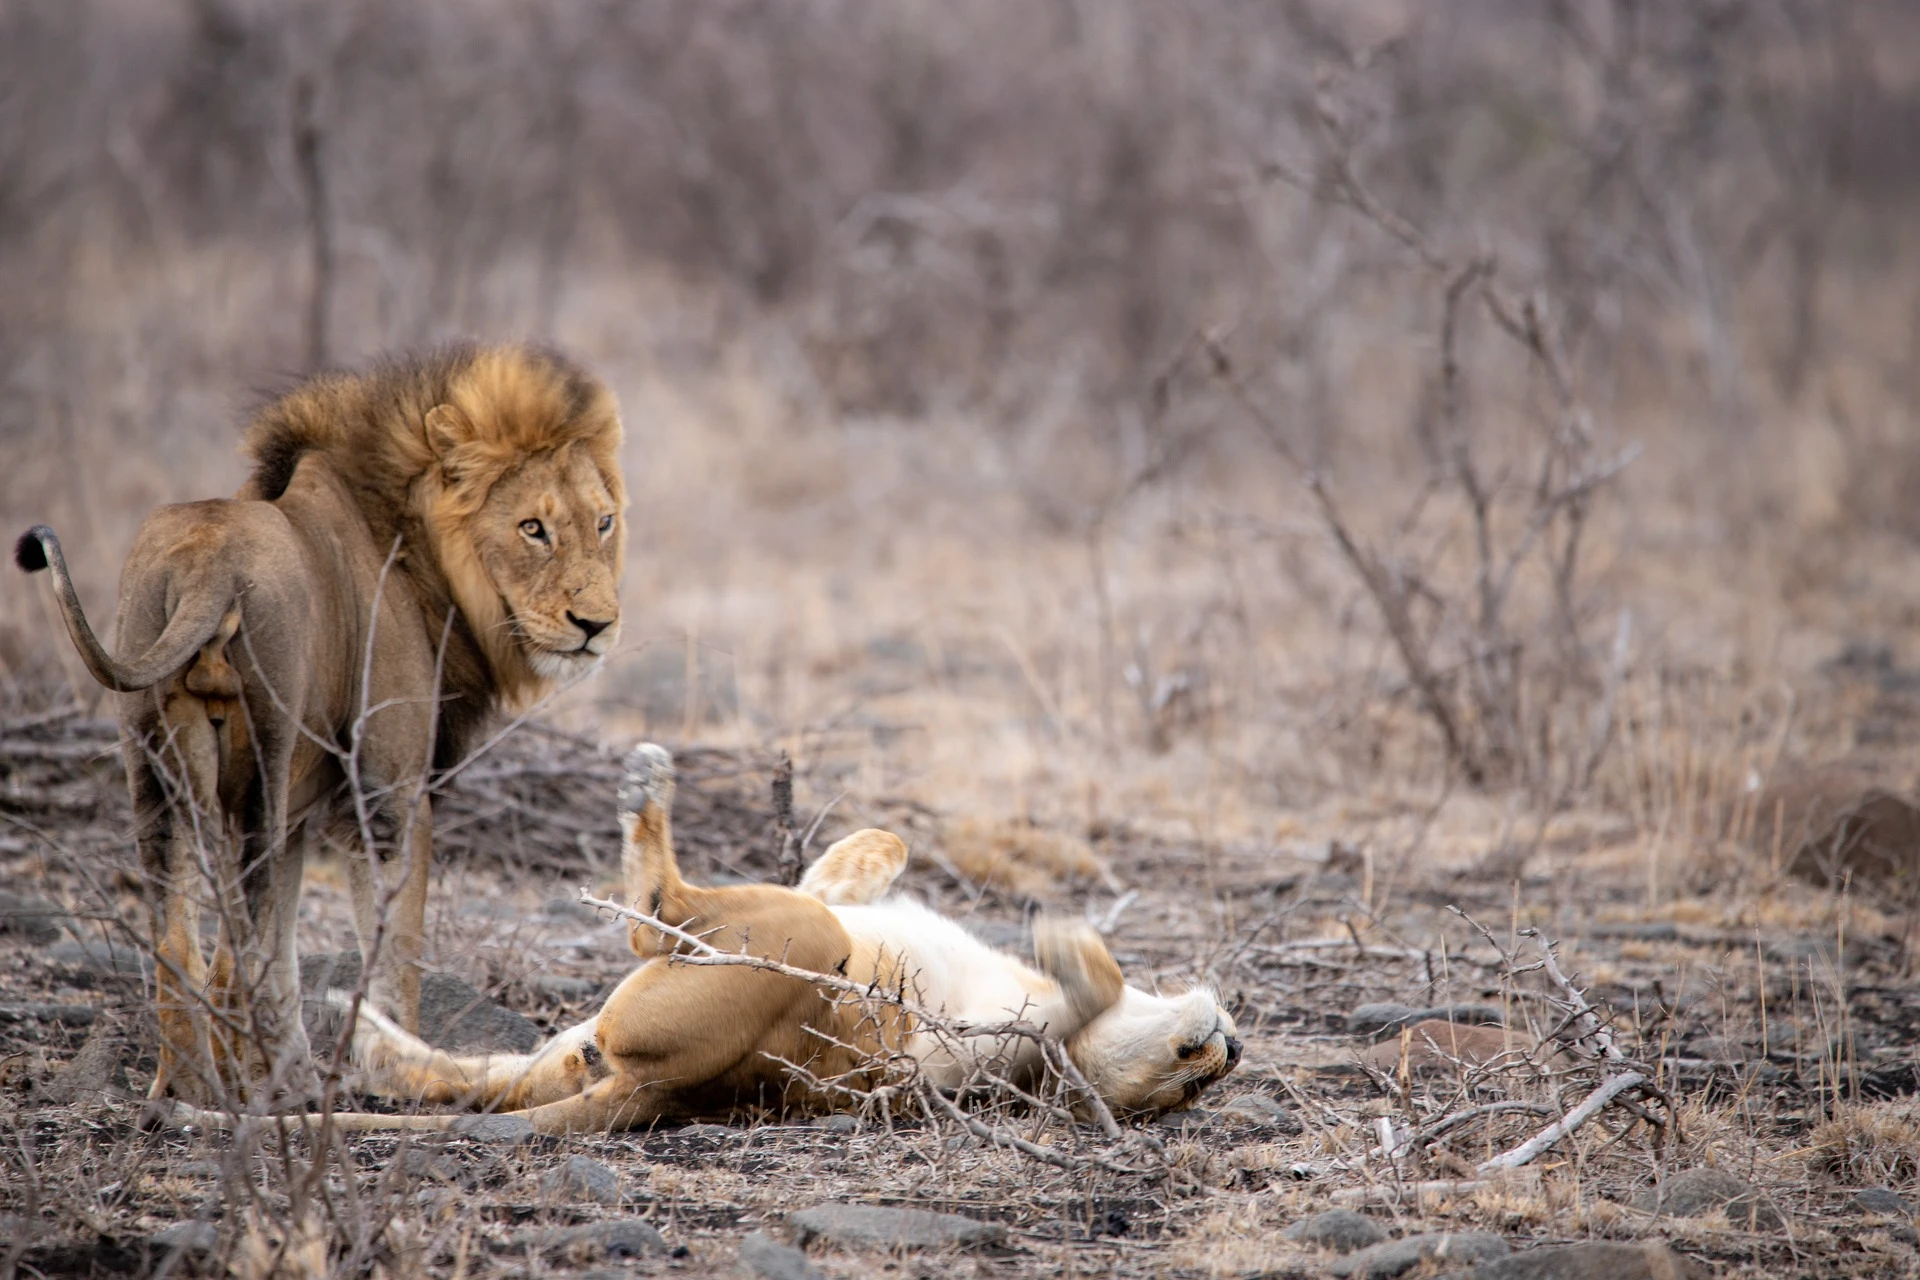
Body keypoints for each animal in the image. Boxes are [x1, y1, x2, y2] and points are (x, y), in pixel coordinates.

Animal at [16, 345, 629, 1105]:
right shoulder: (389, 796)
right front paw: (399, 1068)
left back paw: (187, 1091)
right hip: (265, 761)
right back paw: (252, 1096)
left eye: (603, 523)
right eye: (533, 529)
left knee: (178, 933)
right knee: (243, 933)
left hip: (159, 764)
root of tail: (206, 566)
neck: (411, 549)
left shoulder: (301, 816)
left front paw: (289, 1071)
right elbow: (389, 952)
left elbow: (272, 953)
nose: (596, 624)